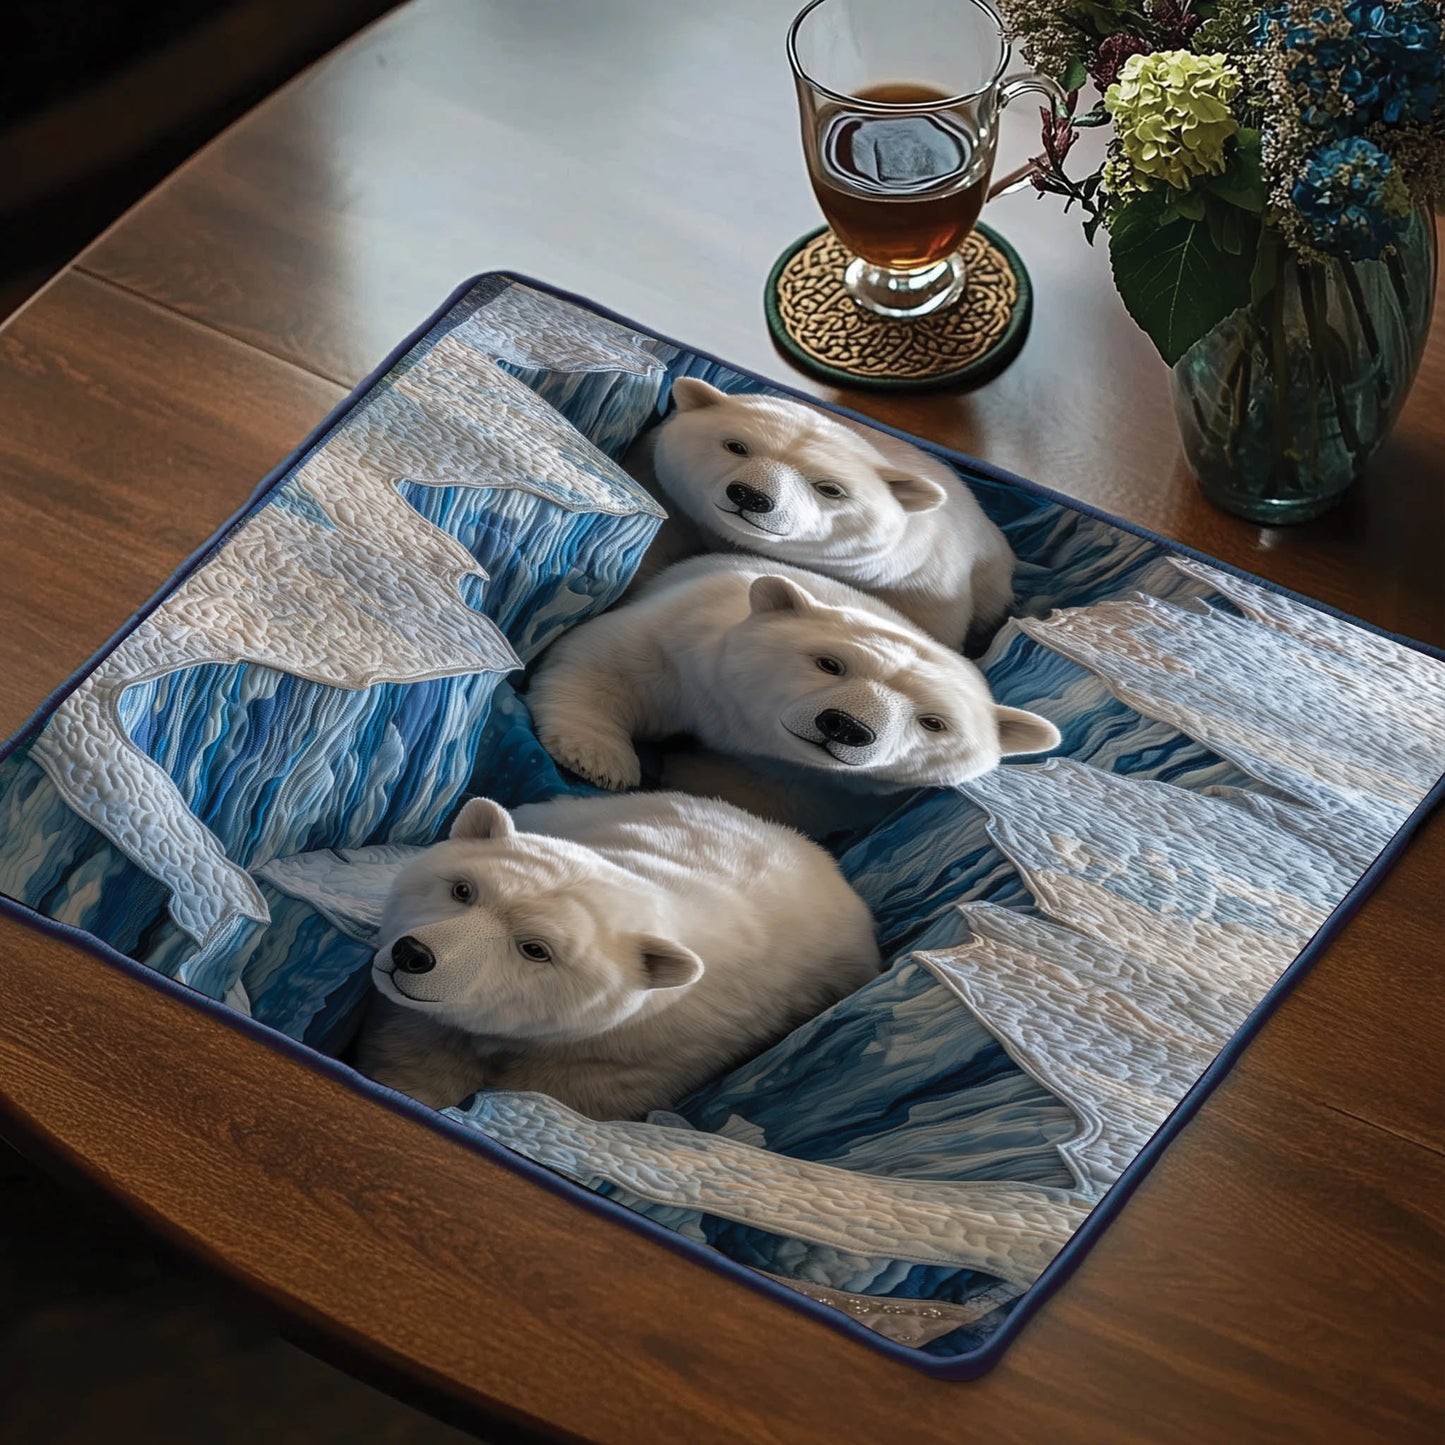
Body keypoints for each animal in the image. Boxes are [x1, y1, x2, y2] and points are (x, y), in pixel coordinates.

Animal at [352, 790, 881, 1118]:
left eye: (535, 949)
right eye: (463, 889)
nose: (414, 954)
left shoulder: (639, 1053)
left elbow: (561, 1093)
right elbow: (420, 1051)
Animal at [526, 553, 1061, 798]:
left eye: (934, 722)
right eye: (829, 662)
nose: (846, 726)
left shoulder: (825, 785)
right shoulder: (686, 641)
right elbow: (608, 667)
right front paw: (598, 761)